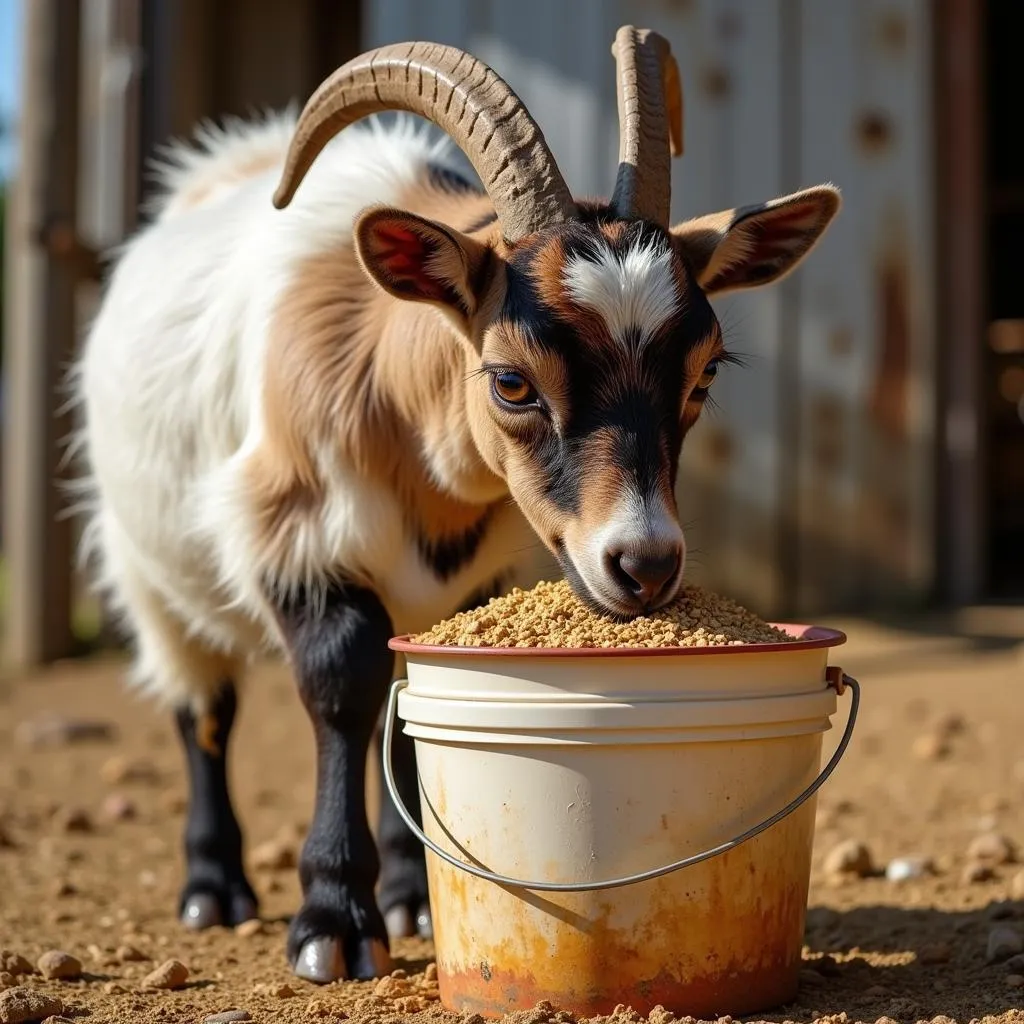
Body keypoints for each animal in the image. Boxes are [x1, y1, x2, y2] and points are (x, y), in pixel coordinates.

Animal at [72, 25, 839, 983]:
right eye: (511, 381)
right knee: (201, 705)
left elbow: (409, 709)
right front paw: (333, 922)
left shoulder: (484, 575)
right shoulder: (292, 538)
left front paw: (410, 899)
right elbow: (340, 687)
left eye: (702, 377)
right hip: (145, 565)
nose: (645, 563)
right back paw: (215, 888)